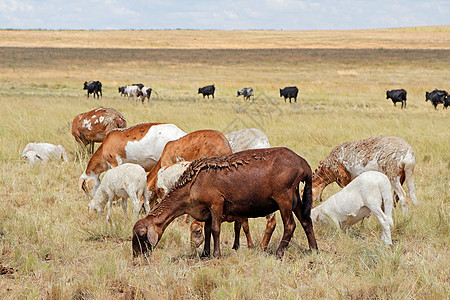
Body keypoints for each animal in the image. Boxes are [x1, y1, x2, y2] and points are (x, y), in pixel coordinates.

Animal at [132, 146, 318, 258]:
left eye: (141, 235)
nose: (136, 256)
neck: (191, 185)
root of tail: (303, 163)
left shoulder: (216, 204)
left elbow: (215, 230)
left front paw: (216, 254)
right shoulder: (206, 210)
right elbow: (207, 231)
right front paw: (205, 254)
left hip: (284, 196)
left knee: (290, 225)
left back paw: (279, 253)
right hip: (295, 197)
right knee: (306, 221)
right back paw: (314, 250)